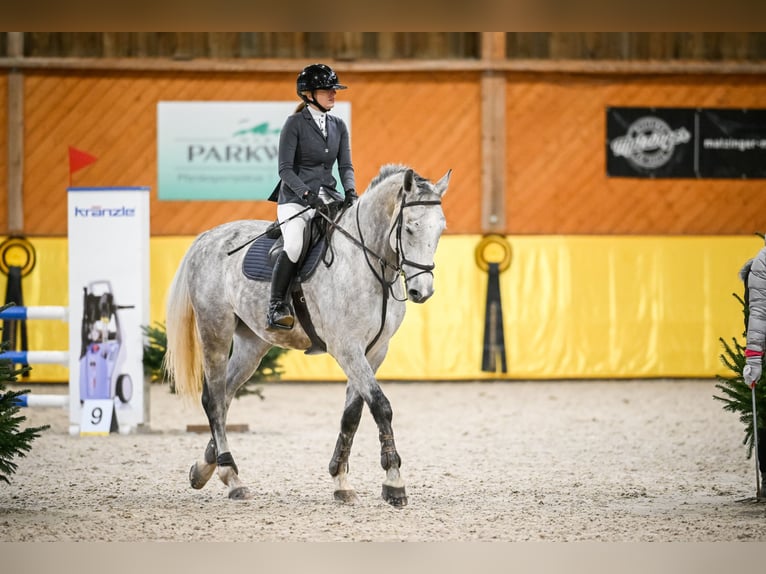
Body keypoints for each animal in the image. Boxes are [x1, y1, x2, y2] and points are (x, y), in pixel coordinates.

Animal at [163, 163, 451, 507]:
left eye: (440, 230)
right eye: (409, 228)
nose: (423, 291)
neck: (369, 264)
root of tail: (206, 238)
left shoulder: (375, 350)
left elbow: (352, 415)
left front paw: (340, 481)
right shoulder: (347, 347)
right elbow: (381, 406)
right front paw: (394, 483)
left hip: (252, 345)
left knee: (226, 395)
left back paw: (205, 468)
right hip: (215, 329)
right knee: (213, 398)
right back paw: (231, 477)